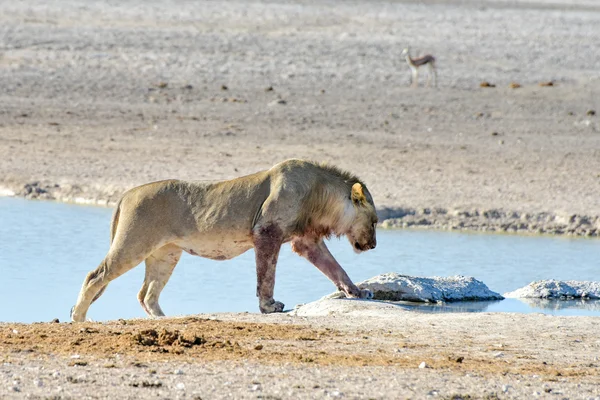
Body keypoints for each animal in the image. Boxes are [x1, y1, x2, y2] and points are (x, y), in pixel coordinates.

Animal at [70, 158, 376, 320]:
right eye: (373, 222)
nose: (373, 245)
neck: (320, 195)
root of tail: (127, 193)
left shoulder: (306, 241)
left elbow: (336, 268)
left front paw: (357, 291)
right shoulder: (266, 232)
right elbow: (266, 275)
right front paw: (269, 306)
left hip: (165, 253)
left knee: (146, 293)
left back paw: (165, 320)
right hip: (133, 243)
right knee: (94, 276)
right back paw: (79, 318)